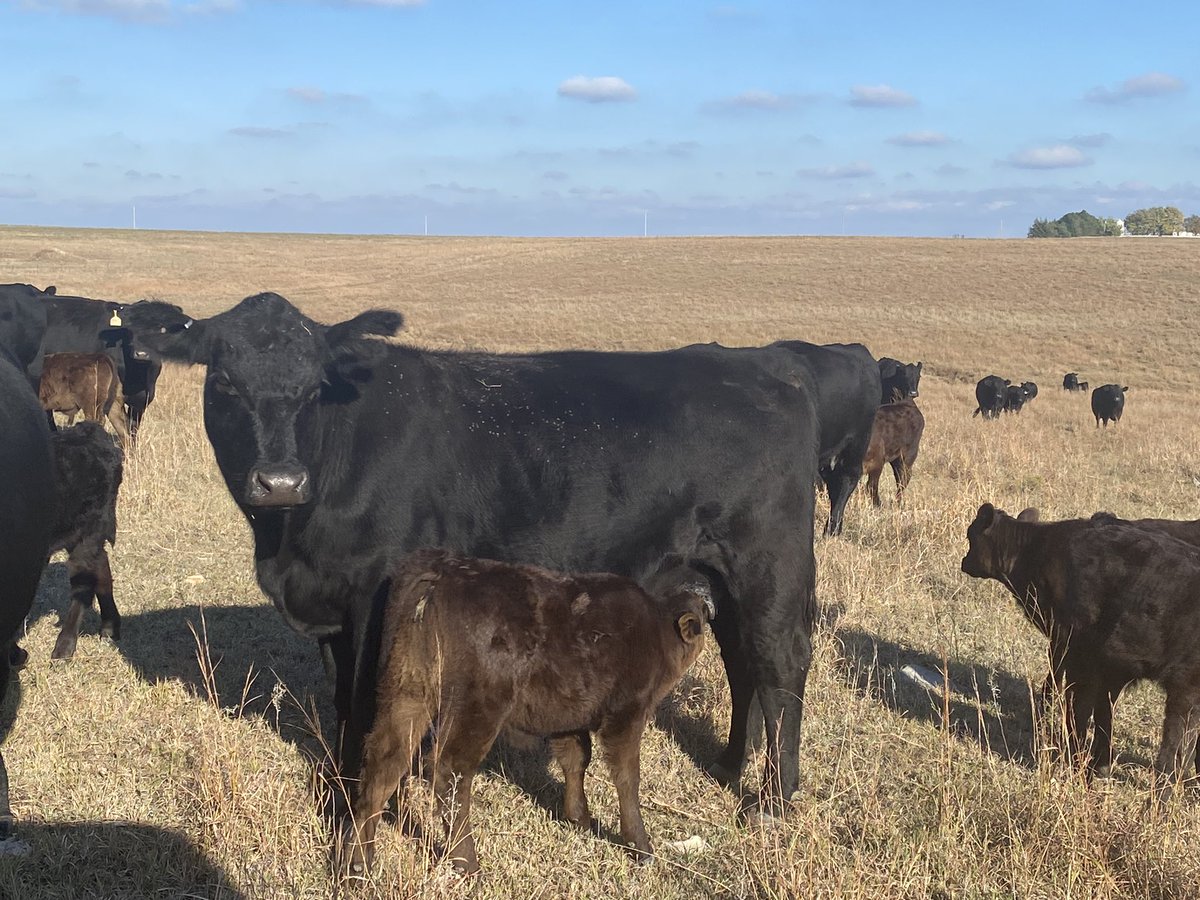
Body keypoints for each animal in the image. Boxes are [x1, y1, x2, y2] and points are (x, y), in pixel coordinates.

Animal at [122, 291, 822, 816]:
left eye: (316, 386)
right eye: (224, 381)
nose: (280, 481)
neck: (288, 544)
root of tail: (765, 368)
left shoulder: (375, 594)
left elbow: (367, 701)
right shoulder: (333, 609)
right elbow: (343, 699)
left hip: (768, 565)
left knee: (779, 665)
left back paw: (775, 799)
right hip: (715, 572)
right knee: (742, 662)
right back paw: (728, 766)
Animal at [341, 549, 712, 875]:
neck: (657, 632)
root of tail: (443, 570)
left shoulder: (567, 716)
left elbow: (575, 758)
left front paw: (578, 818)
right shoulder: (626, 713)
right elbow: (626, 777)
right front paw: (641, 846)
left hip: (407, 694)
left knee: (384, 764)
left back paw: (358, 863)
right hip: (477, 708)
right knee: (449, 771)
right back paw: (466, 862)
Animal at [962, 504, 1200, 792]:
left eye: (971, 535)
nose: (964, 561)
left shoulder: (1071, 646)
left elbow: (1069, 695)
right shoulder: (1109, 667)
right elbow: (1101, 711)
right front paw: (1099, 764)